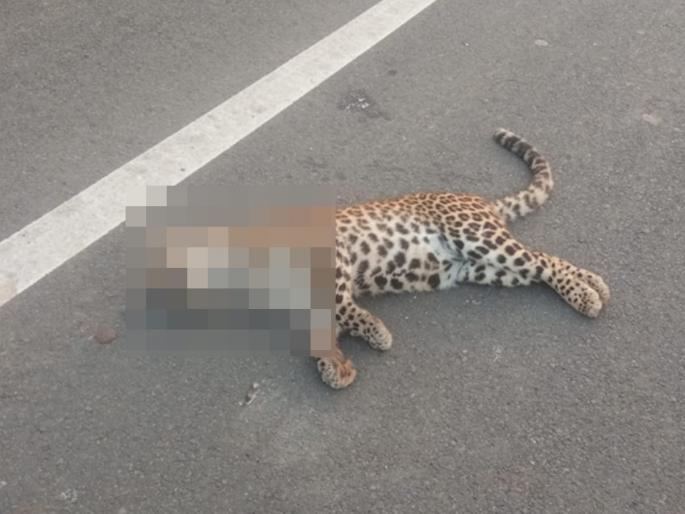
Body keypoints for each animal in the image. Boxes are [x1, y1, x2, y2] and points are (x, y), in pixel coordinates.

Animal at [316, 128, 610, 389]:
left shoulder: (334, 256)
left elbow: (341, 306)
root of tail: (483, 202)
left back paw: (587, 296)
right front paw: (334, 368)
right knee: (541, 262)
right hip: (479, 269)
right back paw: (594, 285)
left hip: (478, 237)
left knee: (541, 260)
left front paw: (377, 334)